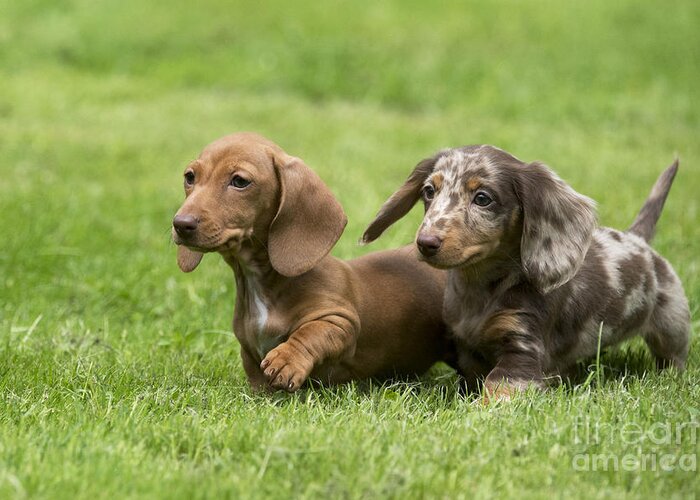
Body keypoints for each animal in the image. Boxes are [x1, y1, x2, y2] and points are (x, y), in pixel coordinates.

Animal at [171, 135, 454, 392]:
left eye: (240, 181)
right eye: (189, 177)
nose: (181, 224)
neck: (264, 282)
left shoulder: (340, 320)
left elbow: (310, 333)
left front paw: (287, 360)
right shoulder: (247, 348)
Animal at [364, 146, 692, 400]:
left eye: (482, 198)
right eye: (429, 191)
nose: (425, 243)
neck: (481, 290)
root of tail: (638, 239)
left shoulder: (521, 351)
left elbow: (494, 391)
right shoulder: (467, 350)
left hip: (671, 326)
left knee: (673, 356)